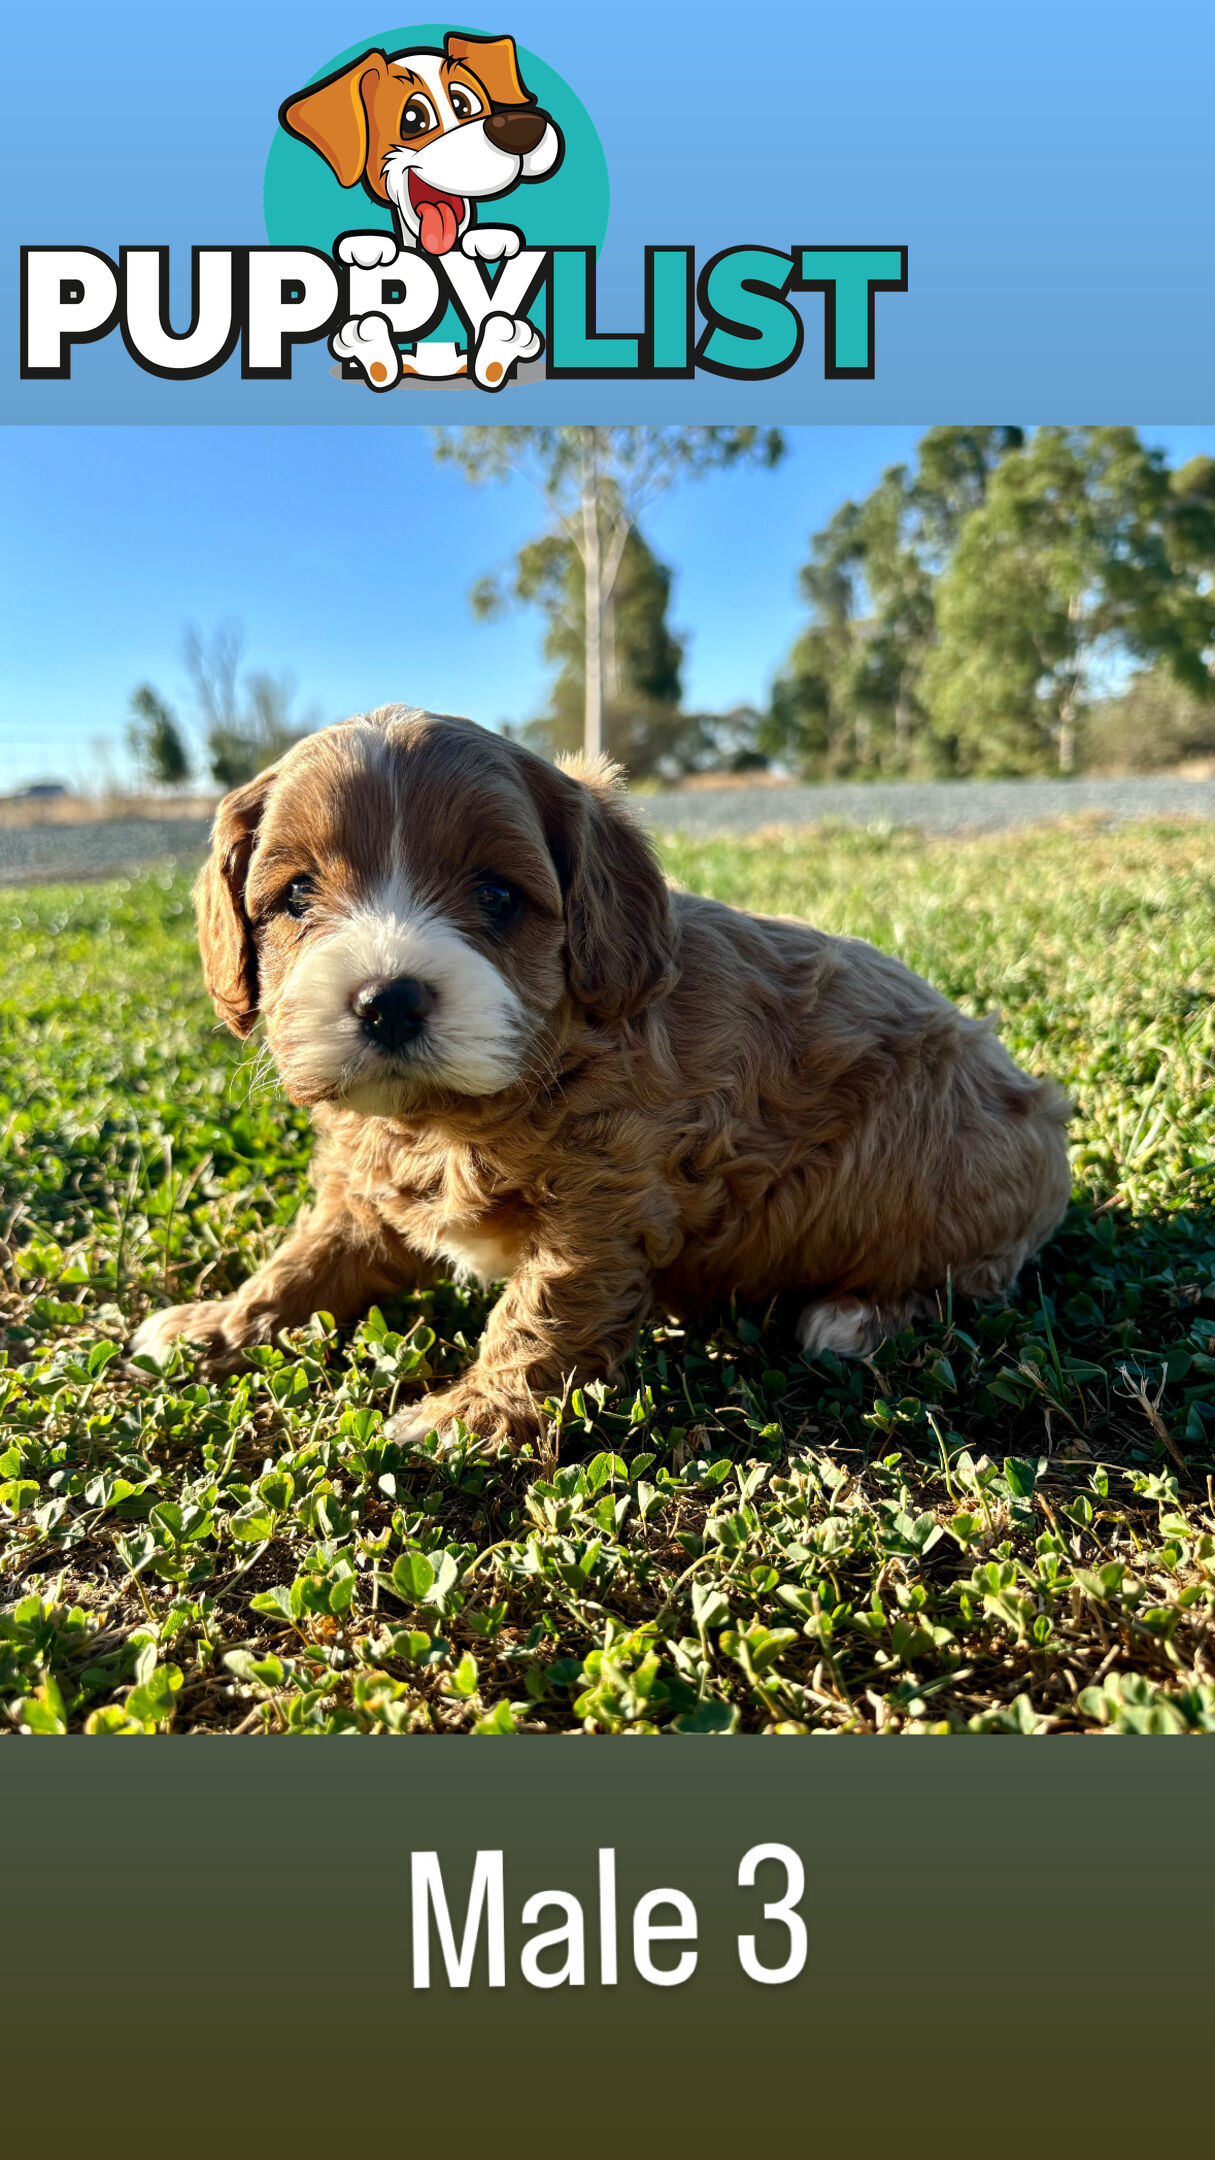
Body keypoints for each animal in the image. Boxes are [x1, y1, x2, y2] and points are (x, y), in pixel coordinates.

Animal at [130, 712, 1067, 1451]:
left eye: (496, 896)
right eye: (295, 897)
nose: (387, 1001)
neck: (455, 1115)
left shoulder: (608, 1199)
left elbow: (546, 1304)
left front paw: (470, 1414)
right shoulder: (367, 1184)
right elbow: (306, 1259)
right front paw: (216, 1324)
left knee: (965, 1277)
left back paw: (856, 1315)